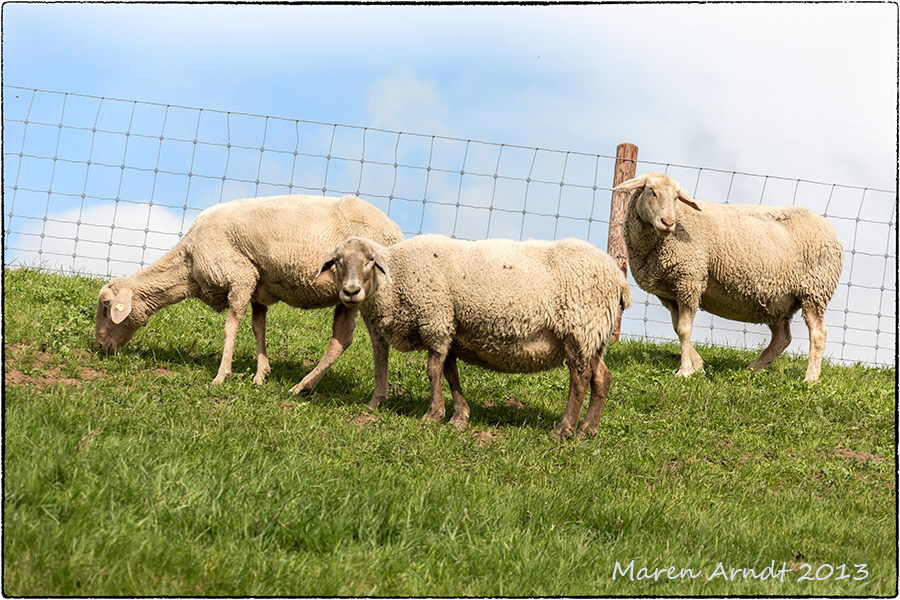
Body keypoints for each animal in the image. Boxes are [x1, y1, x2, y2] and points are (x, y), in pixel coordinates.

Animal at [95, 193, 400, 390]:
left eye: (106, 305)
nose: (99, 347)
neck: (188, 263)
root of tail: (395, 231)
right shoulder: (257, 287)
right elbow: (258, 329)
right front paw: (260, 375)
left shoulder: (240, 277)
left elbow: (231, 327)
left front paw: (221, 376)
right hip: (348, 297)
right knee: (346, 340)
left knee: (357, 340)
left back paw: (309, 386)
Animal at [316, 232, 632, 438]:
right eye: (338, 261)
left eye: (370, 260)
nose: (351, 291)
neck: (398, 277)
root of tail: (618, 278)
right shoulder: (451, 329)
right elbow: (450, 373)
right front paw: (459, 417)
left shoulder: (436, 320)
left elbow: (433, 370)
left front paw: (433, 415)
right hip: (595, 335)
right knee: (601, 377)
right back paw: (588, 429)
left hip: (579, 329)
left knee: (579, 379)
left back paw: (564, 429)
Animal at [612, 171, 844, 382]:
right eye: (651, 191)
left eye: (677, 197)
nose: (668, 222)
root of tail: (831, 230)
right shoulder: (670, 293)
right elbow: (678, 329)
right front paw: (699, 366)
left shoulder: (690, 280)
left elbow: (685, 330)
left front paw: (685, 371)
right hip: (776, 300)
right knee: (782, 338)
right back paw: (752, 370)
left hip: (814, 290)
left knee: (818, 333)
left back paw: (810, 379)